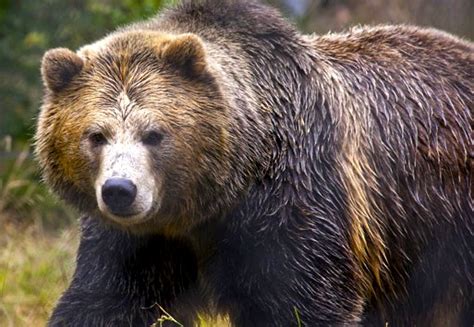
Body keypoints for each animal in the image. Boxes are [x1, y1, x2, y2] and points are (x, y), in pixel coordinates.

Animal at [35, 0, 472, 326]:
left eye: (154, 133)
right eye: (96, 135)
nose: (120, 191)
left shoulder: (293, 202)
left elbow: (302, 302)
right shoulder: (140, 243)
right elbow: (105, 300)